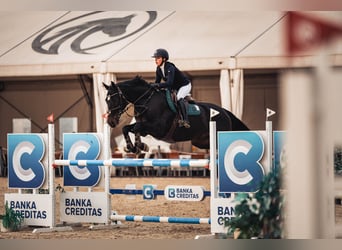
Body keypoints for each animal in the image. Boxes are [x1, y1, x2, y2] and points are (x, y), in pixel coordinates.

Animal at [103, 75, 250, 154]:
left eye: (114, 99)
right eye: (106, 100)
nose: (110, 121)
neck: (146, 100)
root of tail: (225, 112)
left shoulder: (158, 129)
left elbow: (136, 128)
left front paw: (139, 146)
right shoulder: (144, 127)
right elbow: (127, 128)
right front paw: (134, 147)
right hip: (200, 142)